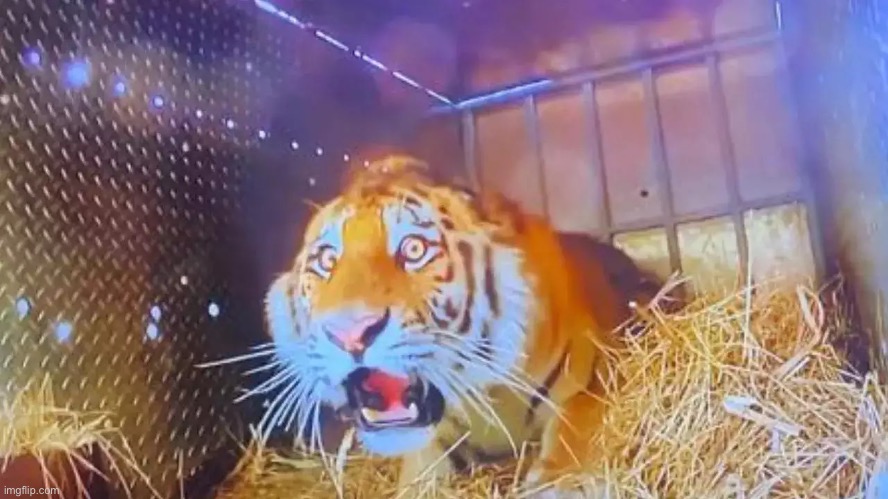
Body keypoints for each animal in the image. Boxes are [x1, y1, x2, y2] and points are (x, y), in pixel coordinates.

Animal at [262, 153, 664, 496]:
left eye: (414, 250)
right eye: (327, 261)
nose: (349, 333)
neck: (485, 391)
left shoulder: (590, 378)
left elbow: (571, 432)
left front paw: (562, 484)